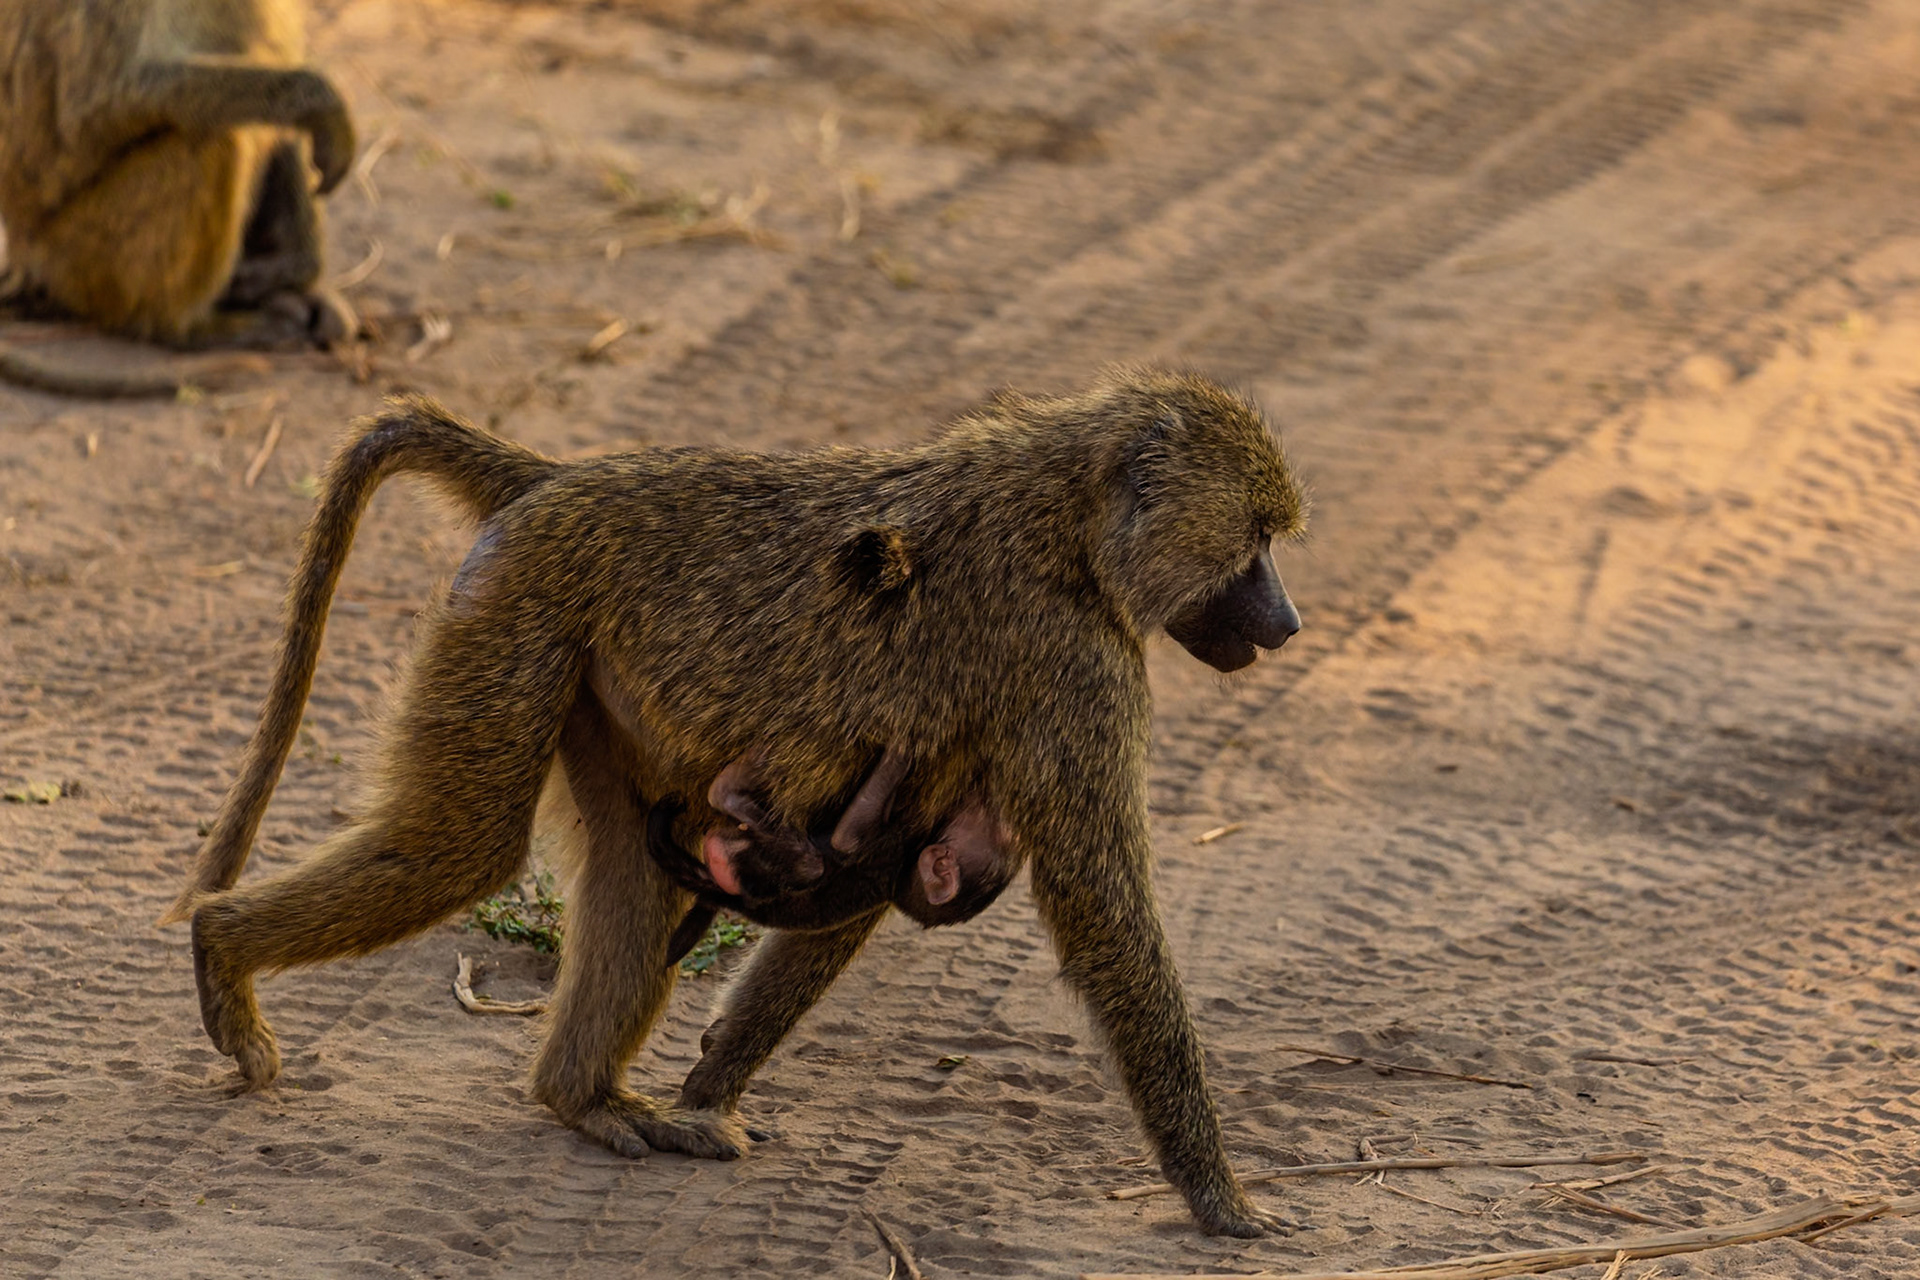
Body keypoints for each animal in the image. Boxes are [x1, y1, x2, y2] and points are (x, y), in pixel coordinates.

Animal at [0, 0, 358, 396]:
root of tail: (24, 249)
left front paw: (291, 270)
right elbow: (97, 104)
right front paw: (315, 101)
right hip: (82, 251)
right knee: (213, 137)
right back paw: (185, 328)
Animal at [165, 367, 1308, 1237]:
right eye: (1254, 542)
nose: (1290, 622)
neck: (1068, 509)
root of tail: (559, 479)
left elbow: (849, 901)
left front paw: (712, 1076)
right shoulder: (1072, 666)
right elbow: (1104, 913)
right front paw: (1224, 1200)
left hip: (575, 662)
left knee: (626, 877)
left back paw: (585, 1099)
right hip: (518, 608)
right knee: (464, 848)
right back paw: (221, 952)